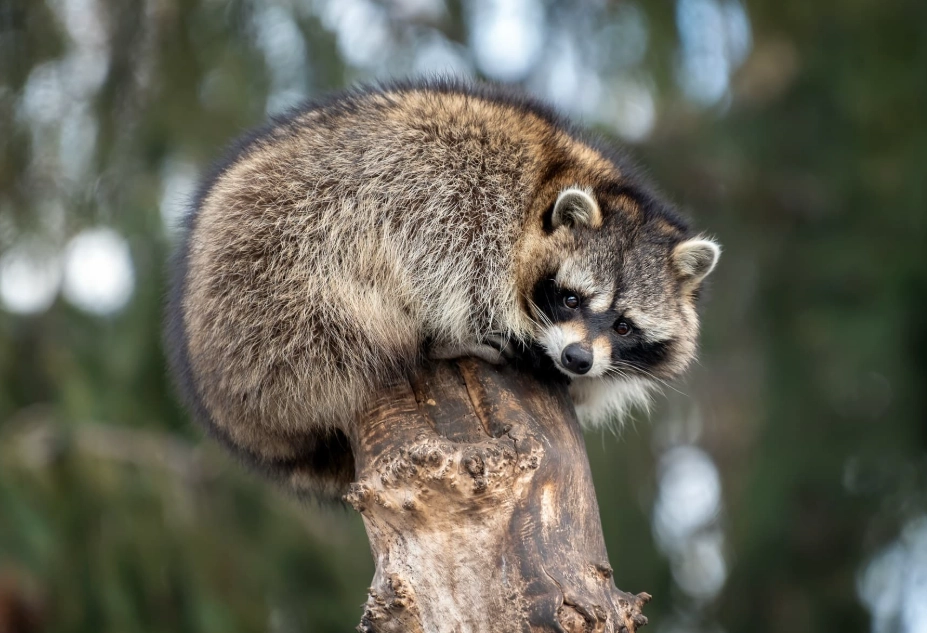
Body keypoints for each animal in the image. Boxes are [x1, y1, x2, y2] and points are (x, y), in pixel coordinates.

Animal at [165, 79, 720, 498]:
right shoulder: (468, 200)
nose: (578, 359)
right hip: (278, 279)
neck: (553, 180)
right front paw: (477, 331)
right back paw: (429, 344)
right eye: (570, 299)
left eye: (624, 326)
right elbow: (450, 263)